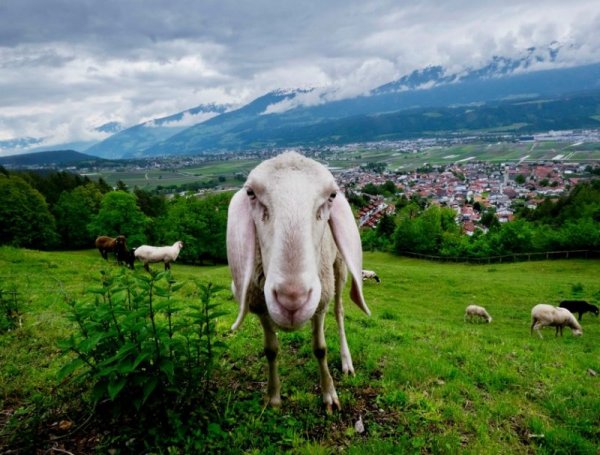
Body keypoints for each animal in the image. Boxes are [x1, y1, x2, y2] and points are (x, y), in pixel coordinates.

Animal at [226, 151, 370, 412]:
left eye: (332, 196)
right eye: (251, 193)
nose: (292, 299)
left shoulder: (320, 302)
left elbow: (320, 349)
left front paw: (329, 395)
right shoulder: (259, 306)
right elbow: (270, 350)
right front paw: (273, 397)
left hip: (338, 269)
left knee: (340, 311)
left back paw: (346, 362)